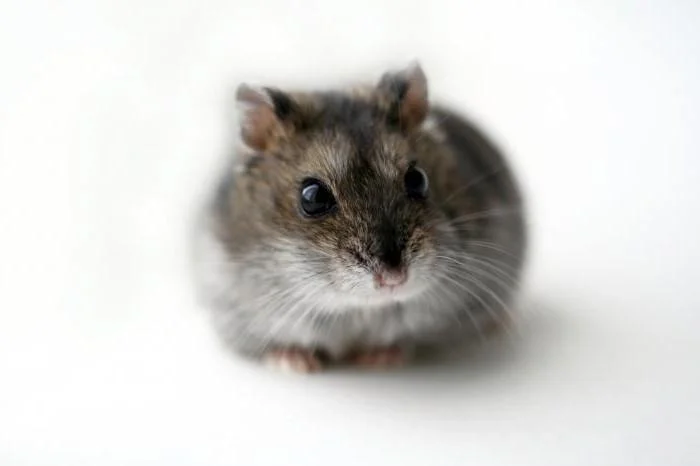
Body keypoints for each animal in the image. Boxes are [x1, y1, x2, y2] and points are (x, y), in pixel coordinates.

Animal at [192, 63, 526, 372]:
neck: (357, 307)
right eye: (312, 197)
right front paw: (295, 363)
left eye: (418, 179)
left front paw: (378, 358)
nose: (394, 278)